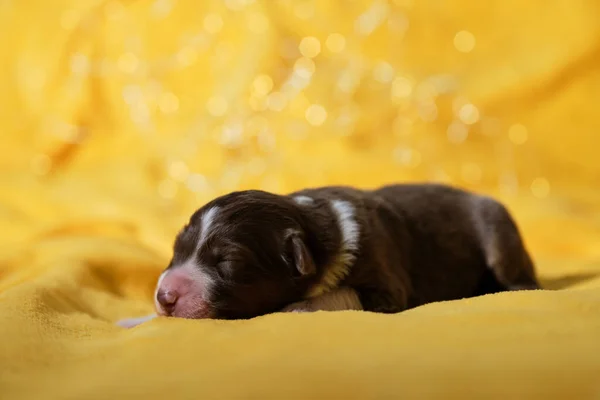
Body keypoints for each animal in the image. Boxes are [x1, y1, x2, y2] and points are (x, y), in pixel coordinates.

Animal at [117, 183, 540, 326]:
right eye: (177, 249)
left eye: (228, 263)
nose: (165, 296)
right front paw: (134, 318)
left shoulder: (386, 285)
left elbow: (338, 294)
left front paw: (296, 308)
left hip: (499, 232)